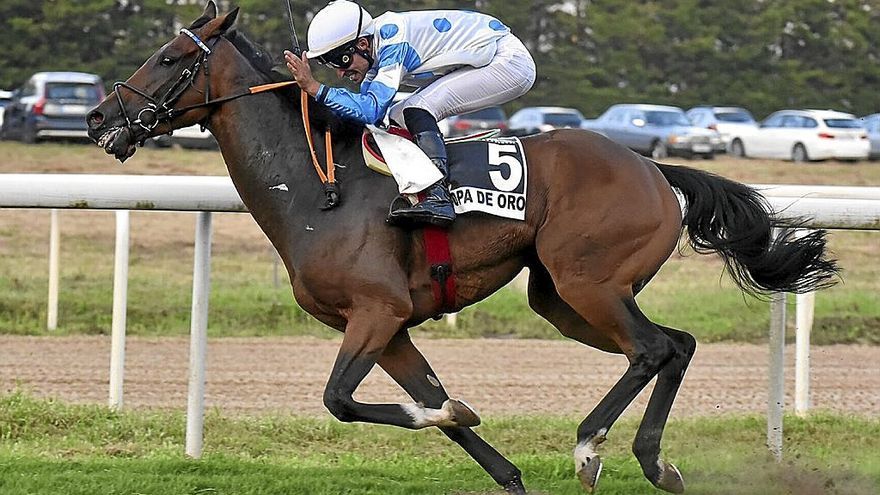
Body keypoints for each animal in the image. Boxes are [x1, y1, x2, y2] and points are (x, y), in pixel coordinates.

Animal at [86, 2, 836, 492]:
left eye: (172, 58)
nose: (97, 118)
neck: (318, 187)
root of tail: (652, 167)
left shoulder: (377, 311)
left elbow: (341, 399)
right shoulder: (388, 328)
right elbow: (437, 406)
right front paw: (494, 455)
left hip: (588, 280)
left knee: (651, 349)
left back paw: (590, 446)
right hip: (560, 298)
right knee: (674, 345)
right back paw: (655, 463)